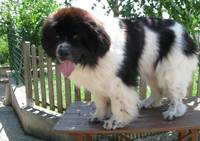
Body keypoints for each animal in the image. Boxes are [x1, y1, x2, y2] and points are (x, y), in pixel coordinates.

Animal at [41, 6, 198, 130]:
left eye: (76, 36)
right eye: (56, 36)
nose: (62, 51)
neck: (96, 55)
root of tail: (185, 31)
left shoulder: (119, 80)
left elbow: (119, 103)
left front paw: (116, 121)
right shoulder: (97, 79)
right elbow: (100, 102)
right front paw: (98, 116)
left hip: (171, 71)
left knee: (176, 94)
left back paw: (174, 112)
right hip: (150, 68)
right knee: (157, 90)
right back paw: (148, 103)